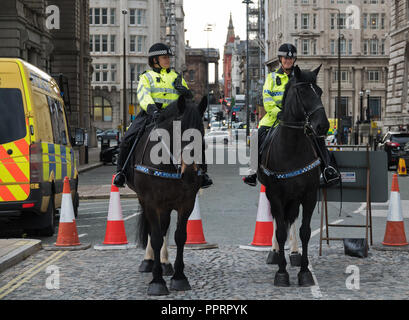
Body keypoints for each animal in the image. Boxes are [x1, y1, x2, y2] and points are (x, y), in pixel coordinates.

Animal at [127, 95, 207, 296]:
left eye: (201, 132)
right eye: (179, 133)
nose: (189, 174)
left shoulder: (187, 203)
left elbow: (180, 236)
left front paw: (179, 277)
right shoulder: (150, 202)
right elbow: (155, 237)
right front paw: (157, 281)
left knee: (163, 228)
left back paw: (164, 263)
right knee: (154, 230)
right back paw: (150, 261)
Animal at [258, 65, 328, 288]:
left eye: (320, 92)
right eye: (303, 92)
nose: (323, 126)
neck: (292, 148)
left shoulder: (308, 195)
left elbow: (305, 231)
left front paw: (304, 271)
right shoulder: (275, 195)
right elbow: (280, 231)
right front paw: (281, 272)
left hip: (295, 197)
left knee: (292, 220)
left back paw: (295, 254)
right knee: (278, 222)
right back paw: (275, 253)